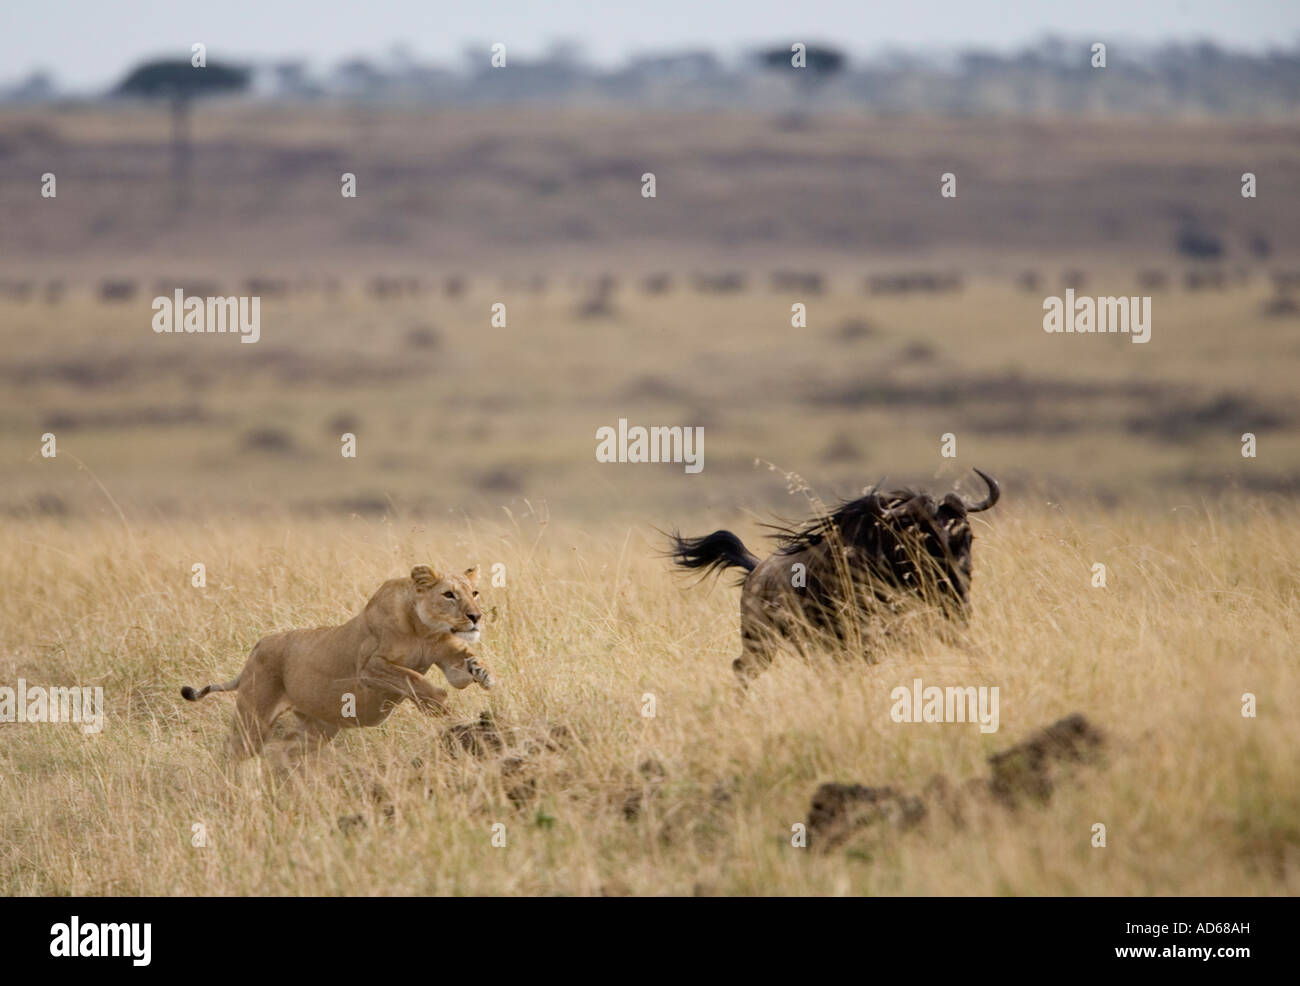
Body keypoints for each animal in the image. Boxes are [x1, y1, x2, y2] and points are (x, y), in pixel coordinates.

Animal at [181, 564, 494, 766]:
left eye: (475, 593)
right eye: (449, 595)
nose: (476, 617)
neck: (422, 630)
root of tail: (257, 647)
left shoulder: (447, 658)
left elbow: (464, 667)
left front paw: (484, 675)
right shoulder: (368, 667)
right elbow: (410, 677)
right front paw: (437, 704)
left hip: (318, 728)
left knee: (285, 747)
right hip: (254, 720)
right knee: (231, 751)